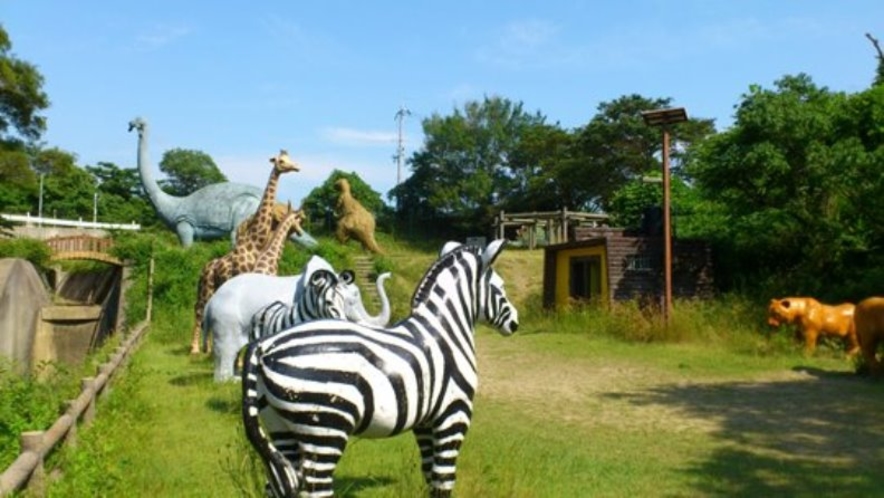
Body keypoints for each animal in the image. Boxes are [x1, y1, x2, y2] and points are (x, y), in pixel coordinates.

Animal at [242, 239, 516, 496]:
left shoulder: (425, 422)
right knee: (316, 488)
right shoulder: (454, 413)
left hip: (280, 427)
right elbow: (444, 479)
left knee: (277, 484)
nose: (515, 323)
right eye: (500, 287)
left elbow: (429, 474)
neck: (444, 332)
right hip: (324, 426)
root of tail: (265, 345)